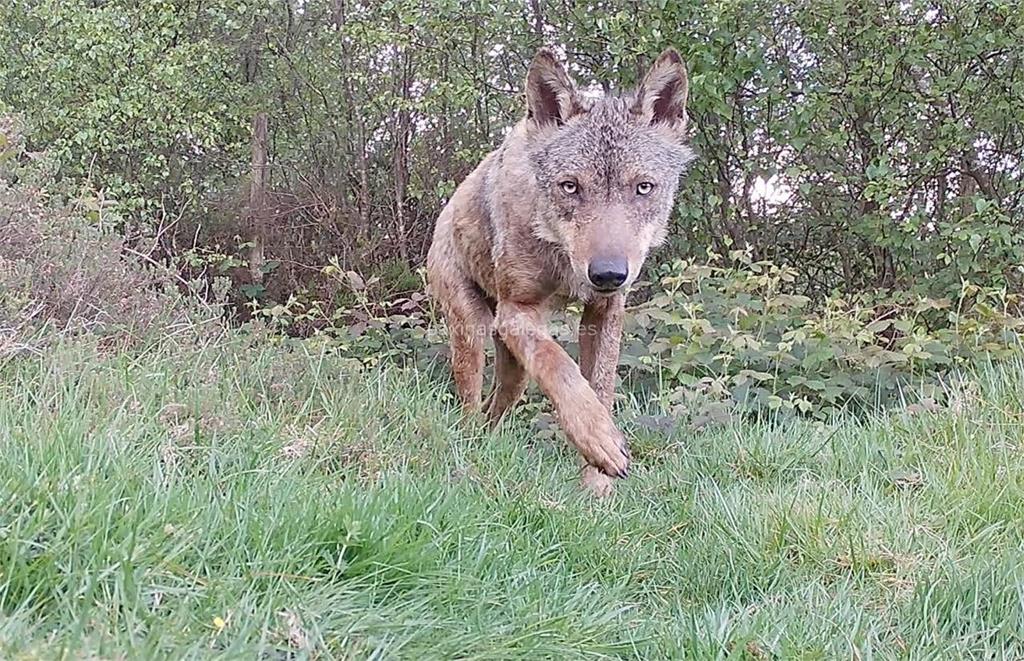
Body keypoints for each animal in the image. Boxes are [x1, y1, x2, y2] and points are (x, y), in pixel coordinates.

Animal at [423, 46, 696, 495]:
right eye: (570, 186)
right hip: (474, 330)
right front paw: (599, 440)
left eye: (643, 187)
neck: (560, 256)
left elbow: (600, 386)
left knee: (497, 405)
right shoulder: (517, 312)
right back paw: (467, 454)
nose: (608, 274)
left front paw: (596, 486)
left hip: (512, 369)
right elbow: (561, 367)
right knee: (470, 401)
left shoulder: (604, 313)